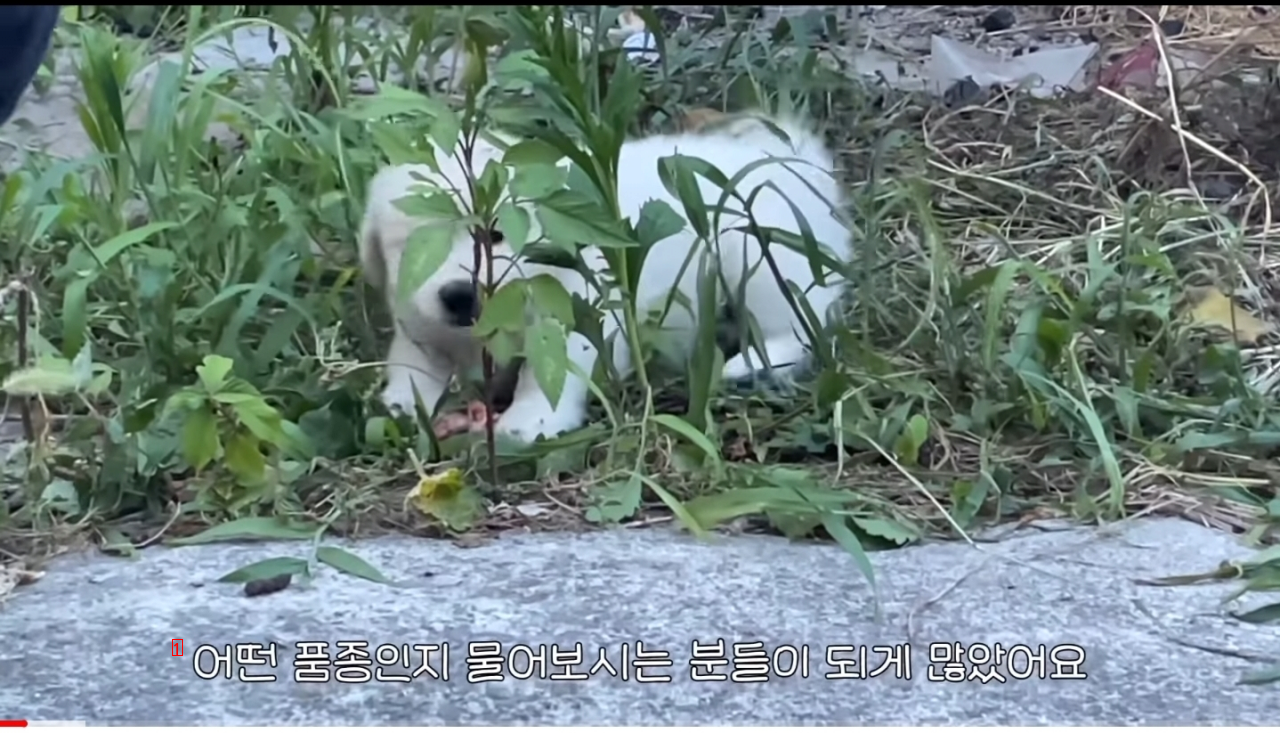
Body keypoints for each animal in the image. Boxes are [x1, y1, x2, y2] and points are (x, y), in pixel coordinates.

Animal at [358, 111, 849, 442]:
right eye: (414, 247)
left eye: (495, 235)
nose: (461, 296)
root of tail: (789, 161)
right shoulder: (417, 322)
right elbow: (416, 360)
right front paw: (406, 400)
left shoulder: (574, 314)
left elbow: (549, 371)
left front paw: (531, 420)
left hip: (761, 257)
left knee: (798, 324)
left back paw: (748, 366)